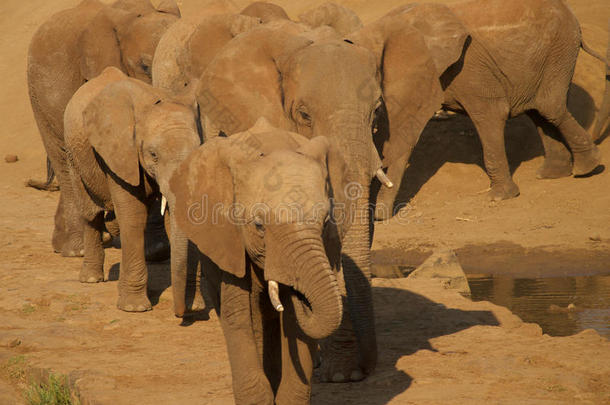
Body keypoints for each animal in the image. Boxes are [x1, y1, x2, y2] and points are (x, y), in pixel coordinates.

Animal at [65, 66, 201, 314]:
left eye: (197, 149)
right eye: (153, 154)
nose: (180, 313)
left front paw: (195, 305)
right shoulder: (118, 154)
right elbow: (132, 216)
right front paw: (134, 308)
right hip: (72, 154)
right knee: (90, 213)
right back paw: (91, 279)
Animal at [171, 118, 350, 402]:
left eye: (325, 222)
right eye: (259, 226)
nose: (298, 293)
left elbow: (297, 329)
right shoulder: (229, 239)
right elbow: (238, 316)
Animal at [344, 0, 604, 218]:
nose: (375, 213)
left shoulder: (466, 66)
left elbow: (490, 113)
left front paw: (500, 197)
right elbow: (402, 133)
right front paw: (379, 214)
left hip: (559, 49)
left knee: (550, 107)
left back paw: (587, 168)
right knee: (538, 111)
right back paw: (553, 173)